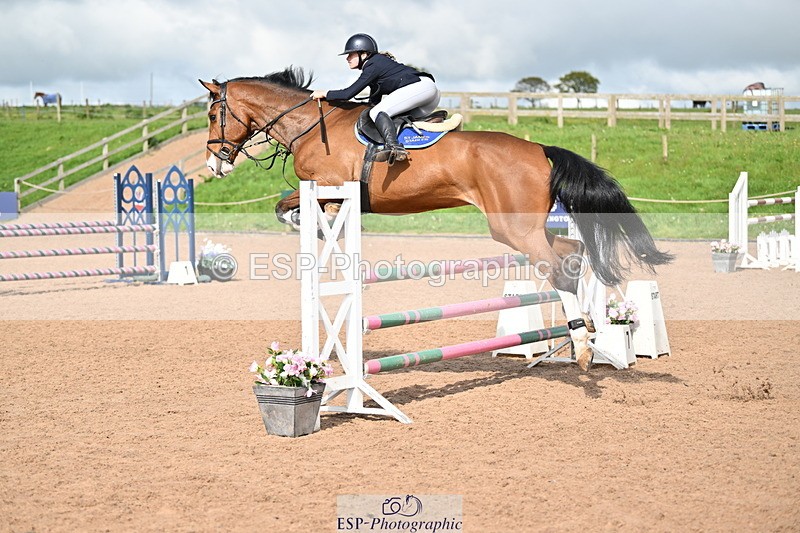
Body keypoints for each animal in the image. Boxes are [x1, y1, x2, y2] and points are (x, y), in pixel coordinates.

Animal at [199, 67, 673, 370]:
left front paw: (315, 225)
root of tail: (540, 149)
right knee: (574, 252)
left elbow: (295, 209)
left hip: (512, 228)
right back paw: (587, 333)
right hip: (526, 227)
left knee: (558, 267)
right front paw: (309, 224)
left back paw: (582, 346)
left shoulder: (332, 186)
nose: (214, 164)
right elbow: (284, 206)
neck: (308, 125)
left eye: (212, 114)